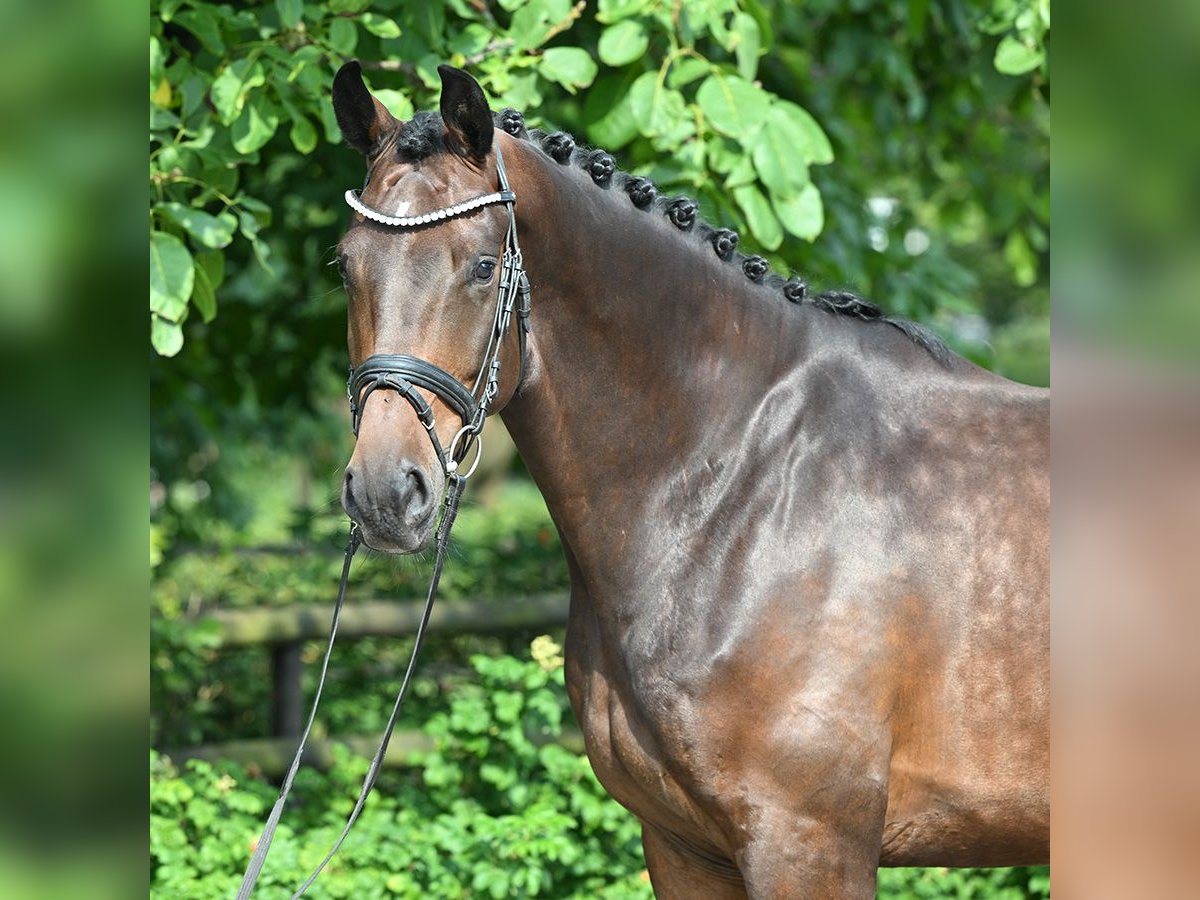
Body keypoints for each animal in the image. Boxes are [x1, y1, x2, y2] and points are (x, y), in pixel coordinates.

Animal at [331, 63, 1051, 900]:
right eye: (346, 265)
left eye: (482, 266)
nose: (384, 493)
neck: (742, 481)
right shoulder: (682, 846)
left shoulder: (809, 842)